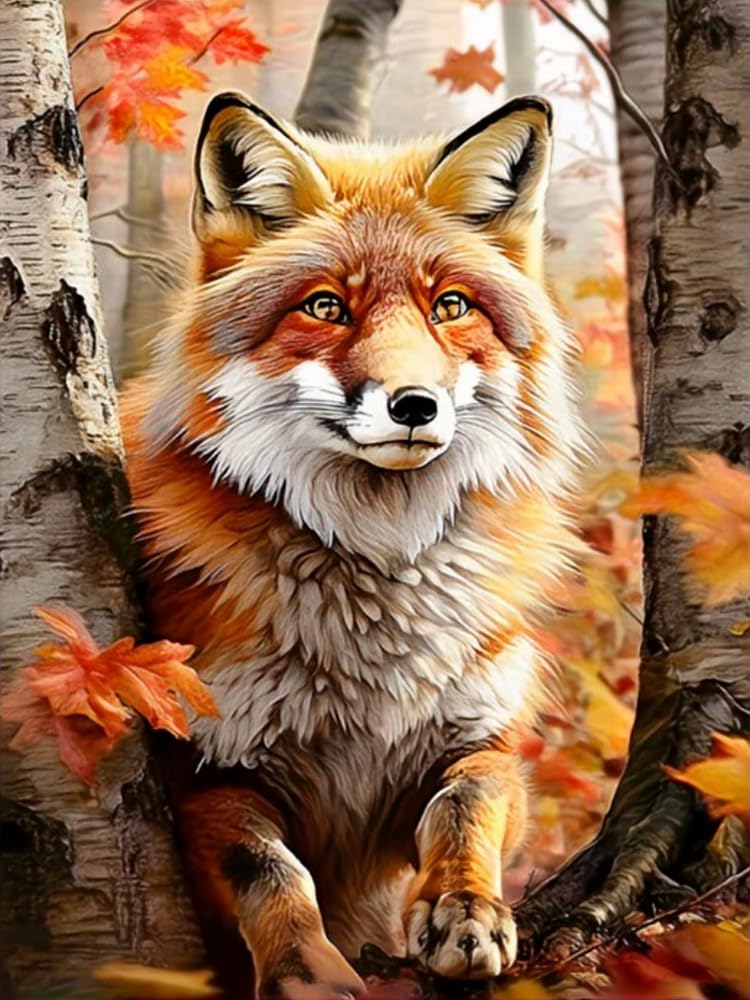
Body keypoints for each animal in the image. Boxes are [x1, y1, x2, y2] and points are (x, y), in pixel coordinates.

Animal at [119, 91, 584, 998]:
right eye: (327, 306)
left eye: (450, 307)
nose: (414, 404)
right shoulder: (204, 770)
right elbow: (269, 870)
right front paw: (307, 969)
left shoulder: (482, 735)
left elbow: (467, 807)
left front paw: (465, 911)